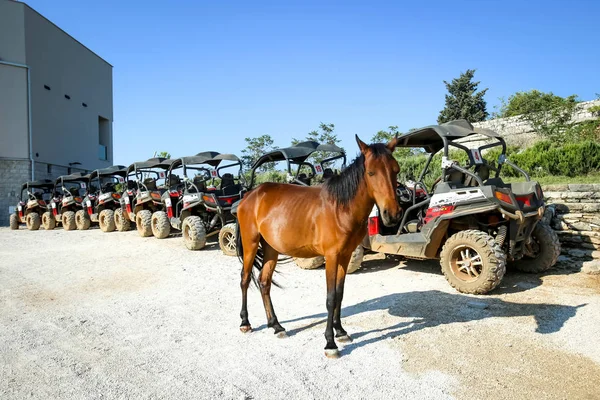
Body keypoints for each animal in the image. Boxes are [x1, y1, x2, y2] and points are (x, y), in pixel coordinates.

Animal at [237, 136, 400, 358]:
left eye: (396, 170)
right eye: (371, 172)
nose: (392, 214)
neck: (341, 208)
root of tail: (249, 195)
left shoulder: (345, 256)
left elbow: (340, 293)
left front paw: (341, 331)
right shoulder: (331, 256)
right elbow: (330, 297)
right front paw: (330, 343)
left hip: (271, 249)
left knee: (264, 282)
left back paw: (276, 326)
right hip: (250, 244)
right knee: (245, 280)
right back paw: (245, 322)